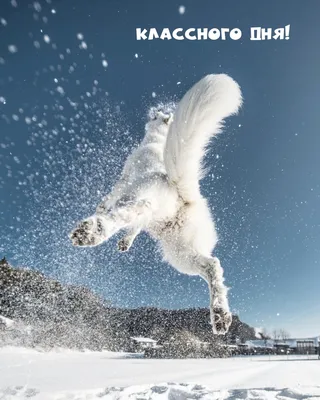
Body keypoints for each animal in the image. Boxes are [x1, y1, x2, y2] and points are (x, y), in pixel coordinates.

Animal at [69, 74, 240, 334]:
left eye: (157, 116)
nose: (156, 110)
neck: (157, 141)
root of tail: (181, 191)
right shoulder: (144, 222)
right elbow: (135, 230)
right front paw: (125, 243)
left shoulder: (124, 178)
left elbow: (110, 197)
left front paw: (102, 209)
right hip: (181, 254)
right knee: (214, 265)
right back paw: (221, 315)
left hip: (139, 200)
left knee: (121, 216)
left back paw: (90, 232)